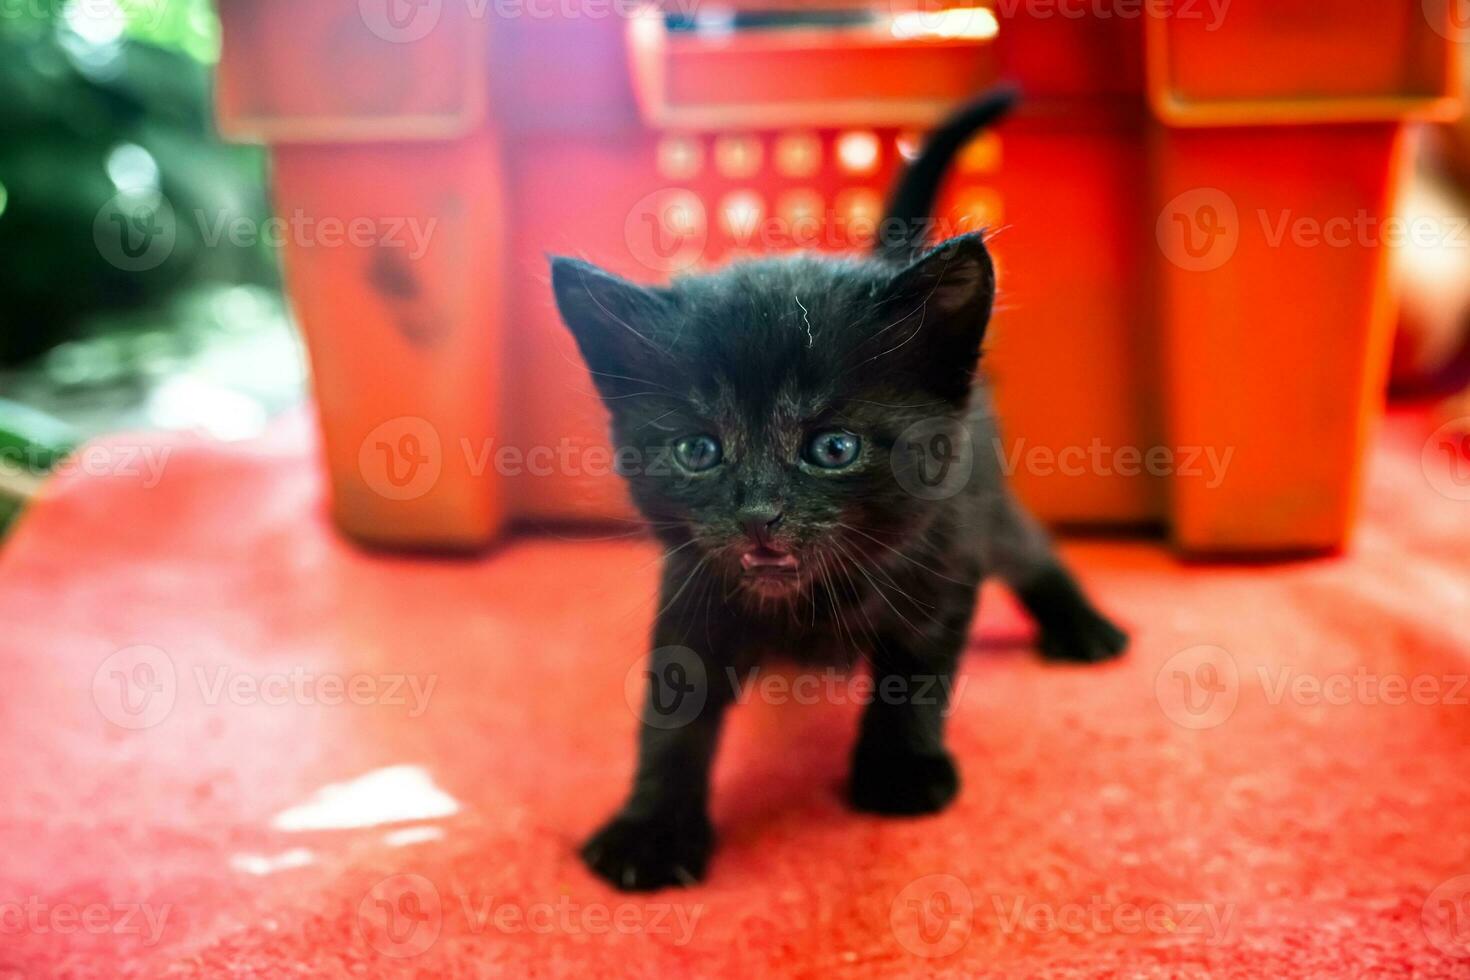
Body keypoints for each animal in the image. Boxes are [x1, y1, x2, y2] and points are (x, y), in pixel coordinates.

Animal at [552, 88, 1123, 893]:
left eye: (834, 448)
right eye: (699, 450)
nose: (759, 514)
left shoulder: (941, 557)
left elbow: (916, 672)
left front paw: (900, 771)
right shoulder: (692, 581)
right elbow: (673, 706)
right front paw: (651, 828)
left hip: (986, 500)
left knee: (1032, 551)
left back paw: (1084, 627)